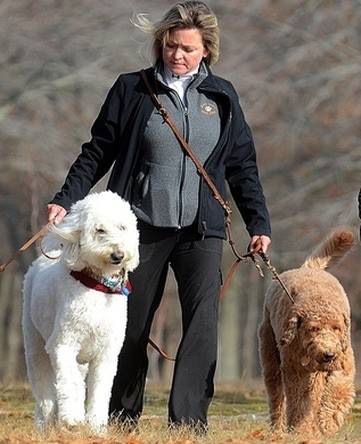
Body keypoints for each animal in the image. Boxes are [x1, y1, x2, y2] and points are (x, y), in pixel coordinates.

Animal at [21, 192, 139, 430]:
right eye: (100, 230)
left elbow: (100, 389)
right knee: (45, 391)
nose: (118, 255)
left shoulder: (106, 354)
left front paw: (96, 426)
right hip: (35, 345)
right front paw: (73, 418)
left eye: (122, 227)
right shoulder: (64, 345)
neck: (97, 285)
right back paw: (47, 423)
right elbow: (70, 383)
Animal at [258, 229, 354, 438]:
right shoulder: (294, 369)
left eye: (337, 328)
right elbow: (299, 401)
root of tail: (307, 268)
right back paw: (278, 429)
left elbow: (337, 390)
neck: (318, 298)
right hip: (270, 354)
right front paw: (299, 429)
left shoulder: (344, 361)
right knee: (277, 397)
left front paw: (328, 421)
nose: (328, 354)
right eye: (313, 328)